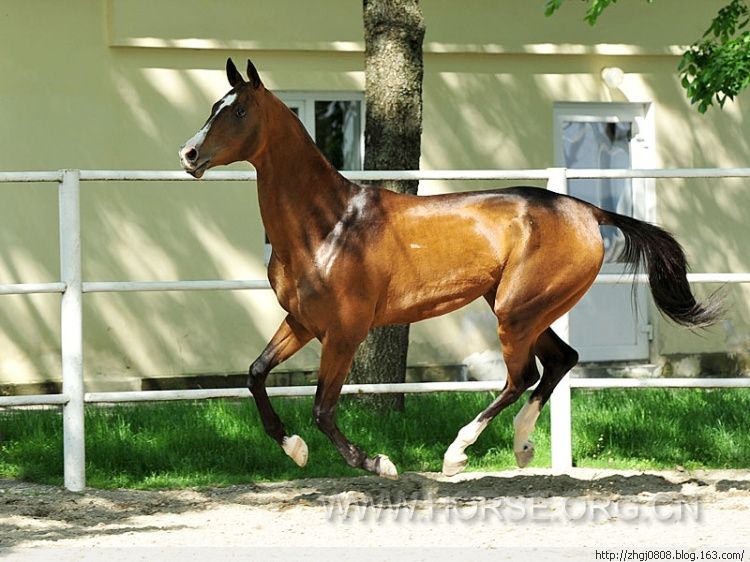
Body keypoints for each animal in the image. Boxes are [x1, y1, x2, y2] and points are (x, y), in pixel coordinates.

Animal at [178, 60, 724, 476]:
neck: (328, 224)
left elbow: (323, 408)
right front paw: (294, 450)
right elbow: (255, 374)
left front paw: (378, 463)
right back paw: (522, 447)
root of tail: (588, 211)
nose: (189, 154)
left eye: (239, 110)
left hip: (517, 311)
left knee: (522, 375)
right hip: (525, 309)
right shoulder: (302, 322)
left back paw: (458, 453)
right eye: (213, 107)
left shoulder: (345, 330)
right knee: (559, 361)